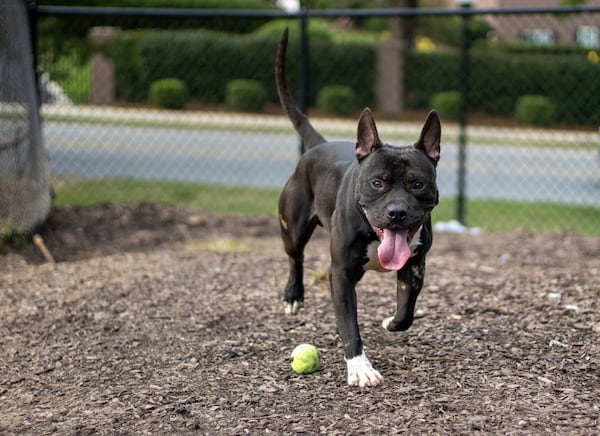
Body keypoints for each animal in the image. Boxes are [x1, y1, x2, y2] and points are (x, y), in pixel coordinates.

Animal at [274, 29, 438, 386]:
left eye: (417, 184)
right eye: (377, 182)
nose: (397, 212)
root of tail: (318, 146)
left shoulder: (414, 266)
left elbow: (406, 312)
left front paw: (391, 322)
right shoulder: (340, 272)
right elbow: (350, 322)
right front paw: (360, 366)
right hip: (292, 227)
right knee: (295, 257)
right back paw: (293, 296)